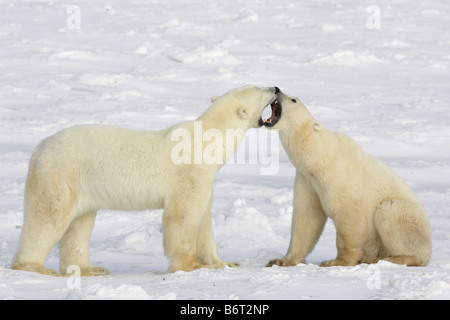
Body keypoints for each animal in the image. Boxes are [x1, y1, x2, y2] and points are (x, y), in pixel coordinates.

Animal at [12, 85, 280, 278]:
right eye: (260, 90)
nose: (276, 88)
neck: (206, 142)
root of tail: (40, 147)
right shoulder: (188, 175)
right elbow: (182, 217)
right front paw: (189, 266)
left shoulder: (206, 180)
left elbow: (204, 221)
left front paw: (223, 263)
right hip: (60, 176)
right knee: (48, 218)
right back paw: (34, 266)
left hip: (81, 186)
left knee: (79, 224)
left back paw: (90, 269)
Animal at [264, 88, 432, 268]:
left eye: (294, 100)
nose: (277, 89)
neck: (319, 156)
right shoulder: (307, 180)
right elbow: (307, 216)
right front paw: (281, 260)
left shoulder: (339, 176)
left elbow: (348, 216)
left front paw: (336, 261)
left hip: (409, 220)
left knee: (390, 213)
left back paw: (391, 258)